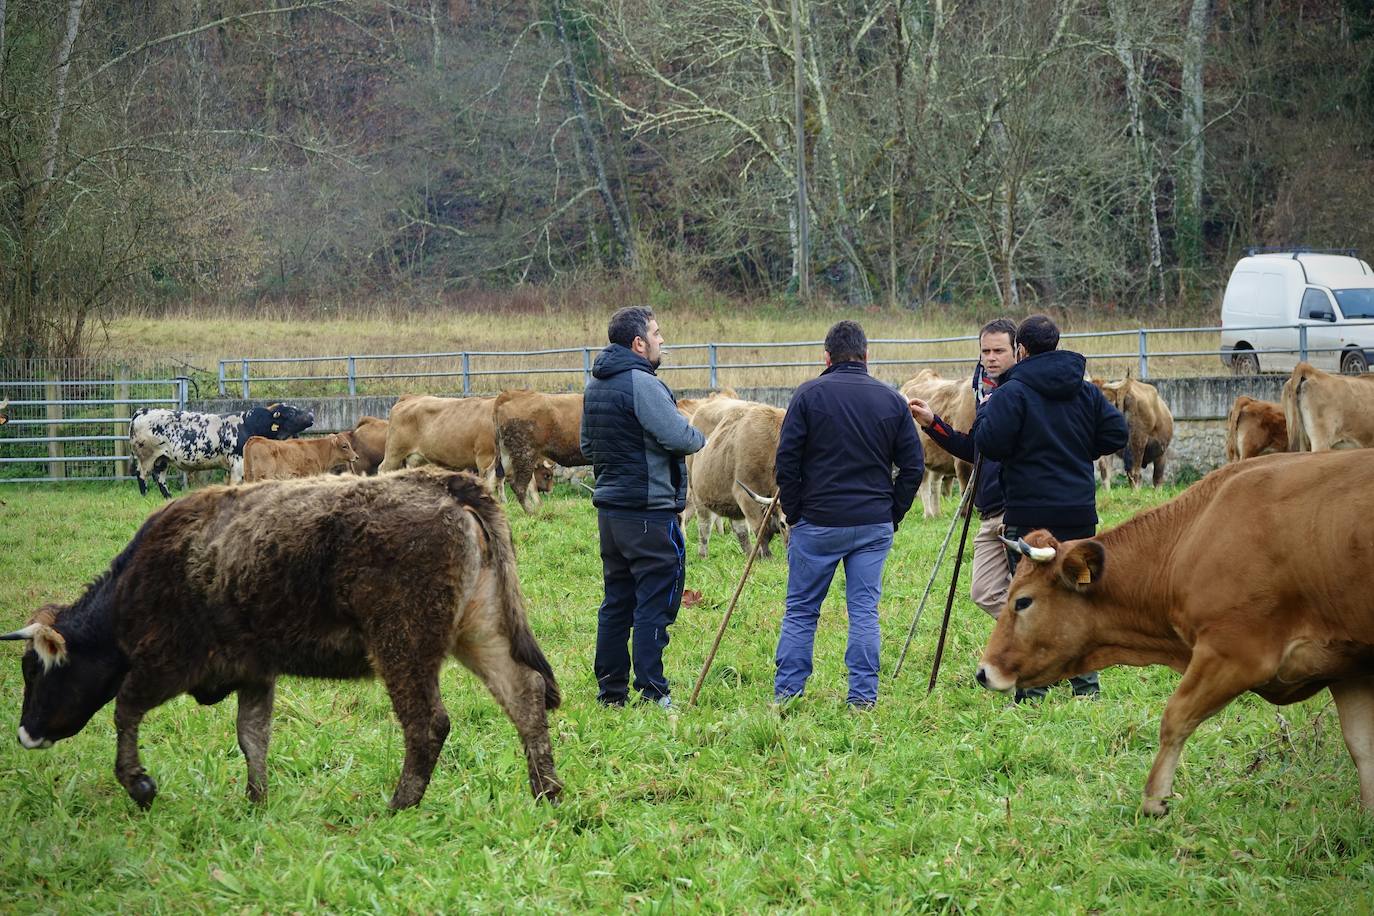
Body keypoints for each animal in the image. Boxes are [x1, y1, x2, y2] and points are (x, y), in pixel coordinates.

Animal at [1, 472, 557, 807]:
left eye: (33, 669)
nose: (25, 734)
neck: (136, 581)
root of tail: (444, 484)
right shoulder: (254, 671)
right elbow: (252, 735)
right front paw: (256, 801)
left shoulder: (165, 664)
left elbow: (125, 710)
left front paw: (138, 783)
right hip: (479, 632)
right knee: (525, 696)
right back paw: (547, 794)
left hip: (403, 645)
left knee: (427, 724)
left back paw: (400, 805)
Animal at [127, 403, 313, 497]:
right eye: (291, 412)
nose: (311, 415)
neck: (250, 425)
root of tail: (142, 411)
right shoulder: (238, 463)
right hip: (146, 458)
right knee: (141, 476)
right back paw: (144, 496)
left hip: (162, 460)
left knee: (160, 479)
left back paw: (168, 498)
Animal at [684, 406, 791, 560]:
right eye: (783, 524)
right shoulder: (746, 496)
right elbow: (761, 530)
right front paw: (767, 557)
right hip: (697, 496)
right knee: (704, 527)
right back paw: (703, 555)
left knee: (740, 530)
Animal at [901, 370, 978, 516]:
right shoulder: (963, 463)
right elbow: (965, 489)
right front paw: (965, 514)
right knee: (925, 484)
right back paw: (929, 514)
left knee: (935, 483)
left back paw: (937, 514)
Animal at [978, 450, 1374, 818]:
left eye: (1023, 601)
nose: (983, 672)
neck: (1190, 536)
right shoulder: (1347, 667)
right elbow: (1362, 746)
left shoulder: (1233, 654)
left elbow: (1176, 716)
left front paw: (1155, 800)